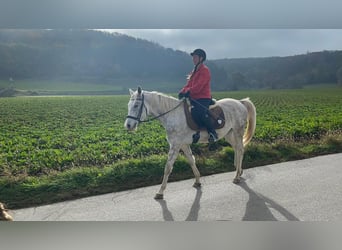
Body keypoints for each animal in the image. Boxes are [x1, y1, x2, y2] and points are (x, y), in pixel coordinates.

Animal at [124, 86, 255, 199]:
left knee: (240, 149)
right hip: (229, 134)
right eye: (129, 105)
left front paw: (160, 192)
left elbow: (168, 167)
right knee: (237, 148)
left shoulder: (175, 146)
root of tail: (240, 102)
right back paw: (239, 170)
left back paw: (237, 176)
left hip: (238, 132)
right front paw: (197, 181)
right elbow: (191, 161)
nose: (128, 126)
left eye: (136, 105)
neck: (173, 115)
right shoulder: (183, 144)